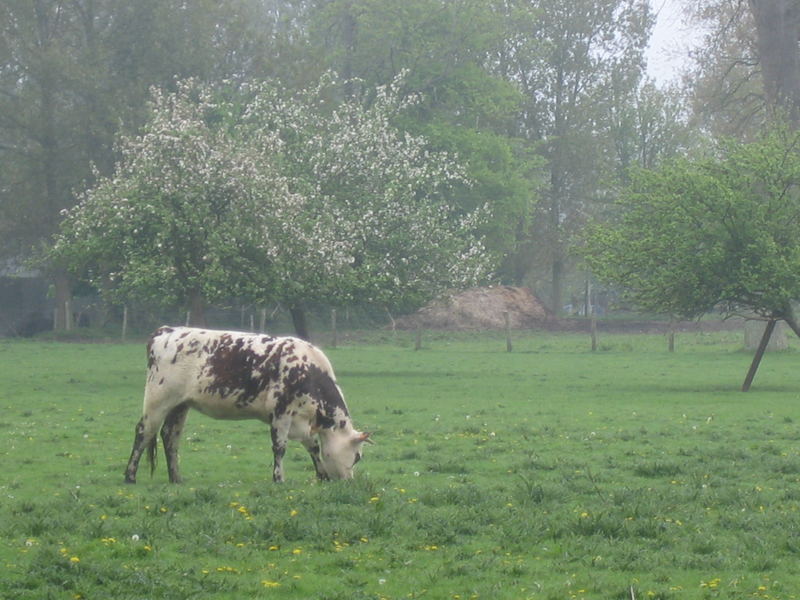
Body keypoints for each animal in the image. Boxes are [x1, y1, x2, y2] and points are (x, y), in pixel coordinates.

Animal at [125, 326, 372, 486]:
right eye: (357, 457)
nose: (349, 482)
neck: (308, 371)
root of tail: (166, 331)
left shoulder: (302, 420)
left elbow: (313, 447)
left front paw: (322, 476)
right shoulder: (281, 413)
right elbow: (280, 447)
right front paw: (278, 479)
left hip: (179, 405)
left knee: (170, 437)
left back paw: (176, 478)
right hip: (158, 399)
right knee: (144, 432)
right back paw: (130, 476)